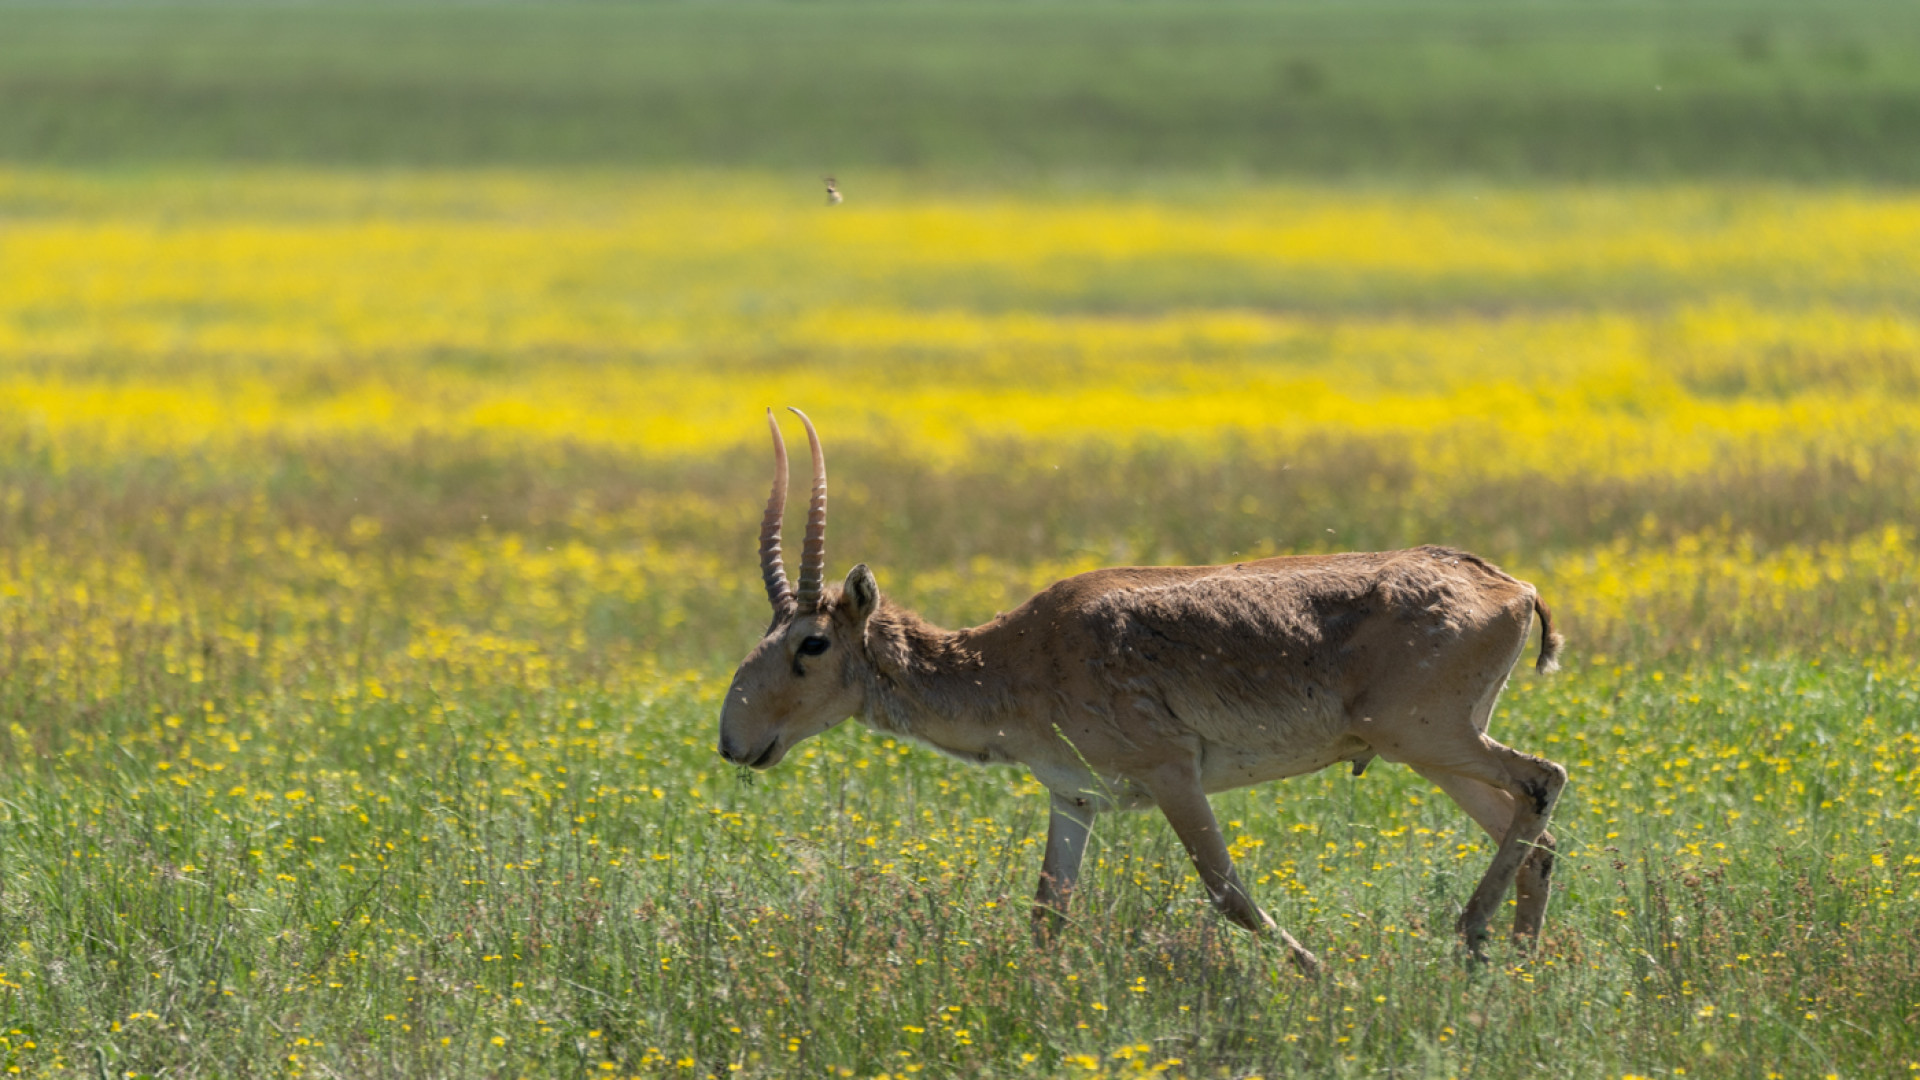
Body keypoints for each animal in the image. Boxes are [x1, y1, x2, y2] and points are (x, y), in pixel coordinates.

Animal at [718, 407, 1559, 960]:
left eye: (812, 641)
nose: (734, 741)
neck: (1024, 655)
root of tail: (1512, 586)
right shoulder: (1073, 797)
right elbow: (1047, 913)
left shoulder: (1171, 772)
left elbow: (1228, 891)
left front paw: (1324, 975)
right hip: (1435, 752)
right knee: (1536, 836)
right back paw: (1511, 964)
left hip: (1430, 736)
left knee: (1545, 779)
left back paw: (1470, 935)